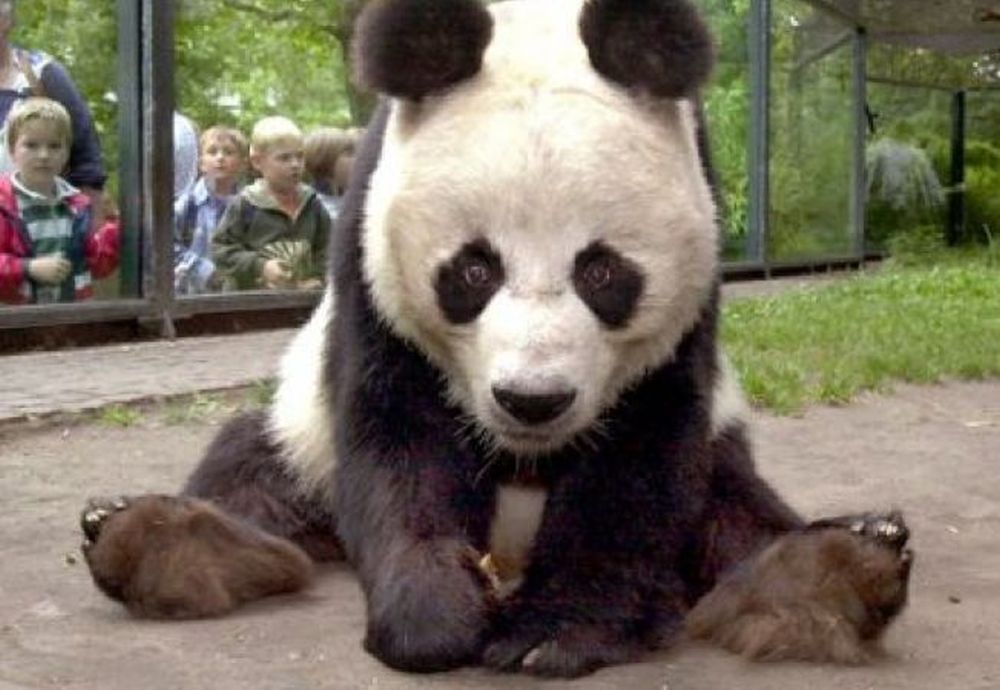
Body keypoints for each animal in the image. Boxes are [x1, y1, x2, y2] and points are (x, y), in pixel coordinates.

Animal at [79, 0, 913, 678]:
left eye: (602, 272)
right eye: (472, 270)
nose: (532, 401)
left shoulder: (691, 278)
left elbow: (640, 455)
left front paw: (554, 635)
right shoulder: (370, 254)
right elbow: (398, 436)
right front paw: (435, 619)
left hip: (724, 452)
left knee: (735, 510)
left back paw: (836, 568)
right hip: (301, 436)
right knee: (252, 471)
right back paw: (153, 542)